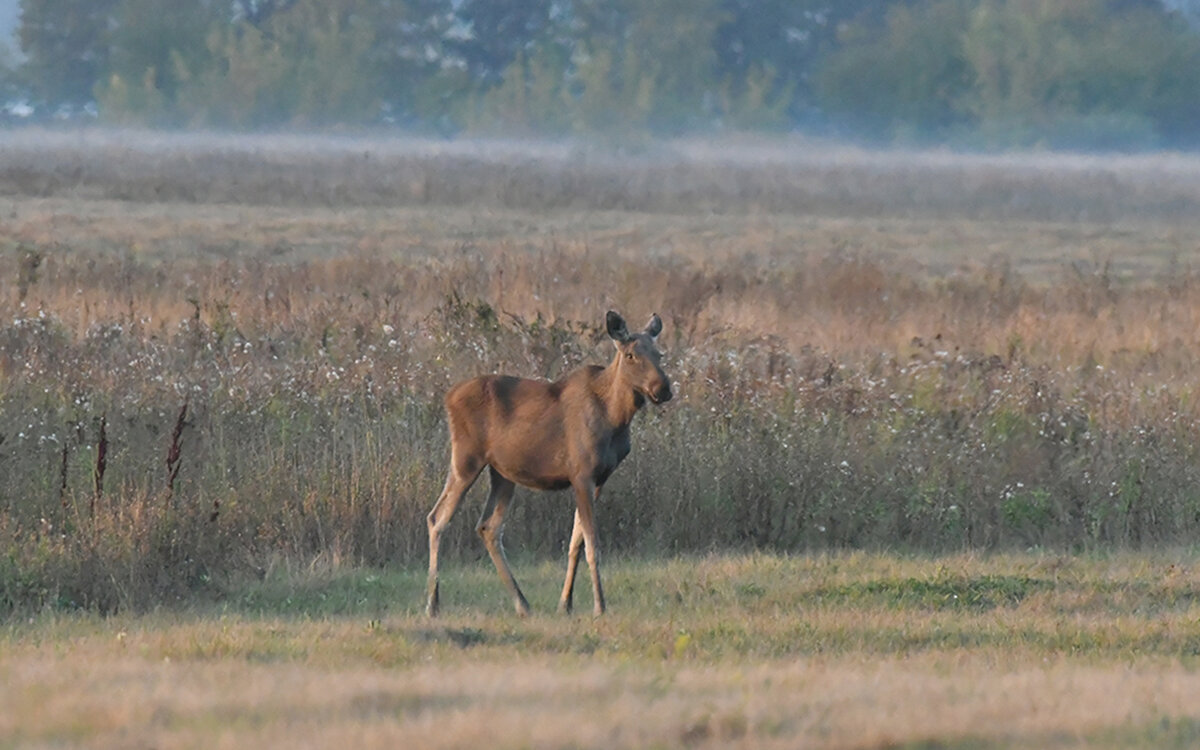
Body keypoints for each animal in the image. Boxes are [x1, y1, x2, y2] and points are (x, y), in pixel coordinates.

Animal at [429, 309, 676, 614]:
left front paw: (565, 603)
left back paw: (522, 604)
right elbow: (592, 545)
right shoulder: (581, 473)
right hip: (466, 460)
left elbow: (575, 544)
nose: (663, 388)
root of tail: (447, 397)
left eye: (659, 354)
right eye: (631, 355)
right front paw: (599, 606)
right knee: (437, 519)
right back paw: (432, 604)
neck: (615, 416)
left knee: (488, 527)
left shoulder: (599, 478)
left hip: (502, 473)